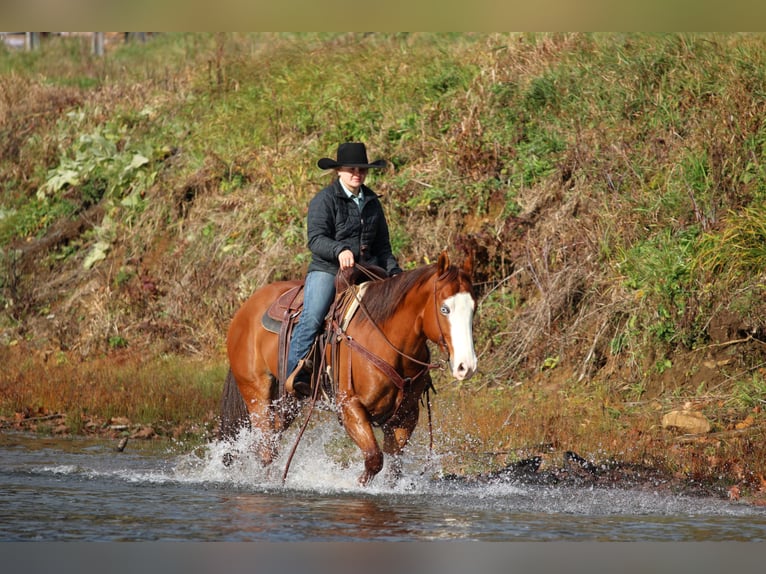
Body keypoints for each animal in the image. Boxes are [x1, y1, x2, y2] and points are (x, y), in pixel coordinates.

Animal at [219, 251, 478, 485]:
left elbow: (393, 468)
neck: (385, 340)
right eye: (444, 309)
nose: (466, 366)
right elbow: (374, 459)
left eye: (473, 308)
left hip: (287, 402)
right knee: (265, 448)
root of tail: (245, 309)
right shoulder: (349, 406)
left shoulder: (407, 414)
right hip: (256, 393)